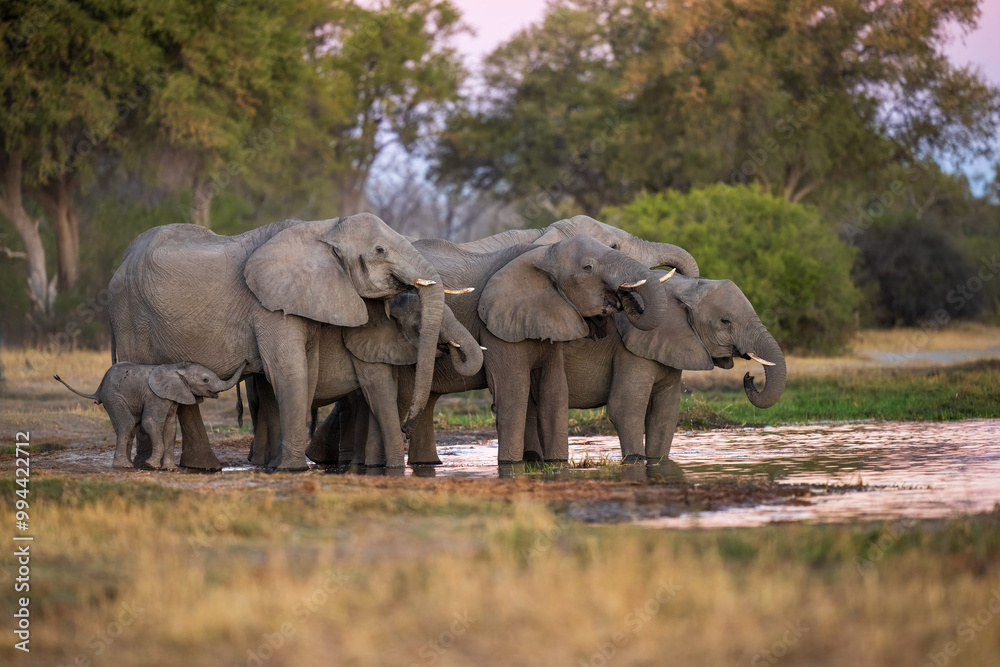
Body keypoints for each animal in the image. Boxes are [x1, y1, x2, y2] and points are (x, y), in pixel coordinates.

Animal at [54, 361, 245, 469]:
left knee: (129, 427)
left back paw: (128, 464)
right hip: (114, 397)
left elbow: (170, 428)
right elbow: (151, 423)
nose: (247, 360)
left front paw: (170, 469)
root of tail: (98, 389)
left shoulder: (171, 397)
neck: (177, 368)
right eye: (205, 380)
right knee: (127, 425)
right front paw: (151, 465)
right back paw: (124, 466)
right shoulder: (156, 396)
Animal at [108, 213, 446, 471]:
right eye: (379, 250)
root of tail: (121, 260)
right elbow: (288, 371)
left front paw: (279, 466)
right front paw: (293, 469)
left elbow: (307, 371)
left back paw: (201, 467)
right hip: (130, 316)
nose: (406, 428)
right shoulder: (268, 307)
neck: (324, 228)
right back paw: (146, 466)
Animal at [248, 295, 482, 468]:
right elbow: (382, 393)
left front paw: (371, 466)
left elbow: (378, 398)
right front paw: (394, 467)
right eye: (419, 325)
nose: (405, 430)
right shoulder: (365, 348)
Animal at [521, 272, 786, 462]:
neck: (685, 287)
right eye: (725, 321)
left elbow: (665, 413)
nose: (749, 377)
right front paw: (635, 461)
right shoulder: (632, 347)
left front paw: (658, 461)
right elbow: (625, 407)